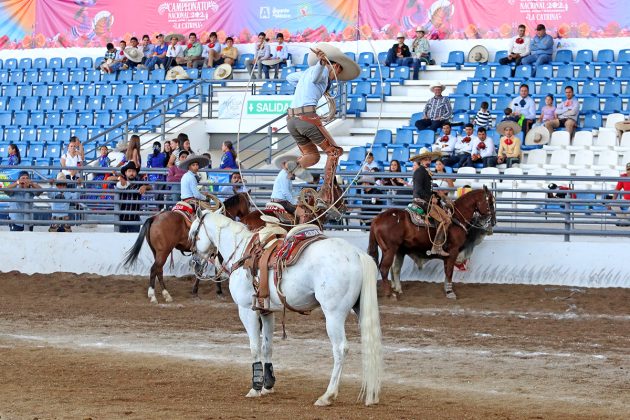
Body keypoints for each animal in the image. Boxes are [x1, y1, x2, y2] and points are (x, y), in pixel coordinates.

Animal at [122, 192, 253, 304]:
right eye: (249, 202)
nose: (248, 216)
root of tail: (154, 218)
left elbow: (201, 270)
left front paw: (196, 291)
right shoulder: (216, 251)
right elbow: (215, 269)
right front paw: (218, 292)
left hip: (157, 252)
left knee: (159, 270)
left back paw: (166, 295)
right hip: (163, 252)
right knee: (154, 269)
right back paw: (153, 296)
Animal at [190, 212, 382, 406]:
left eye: (193, 234)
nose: (194, 263)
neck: (243, 253)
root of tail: (357, 254)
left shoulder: (246, 310)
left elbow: (255, 347)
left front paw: (256, 387)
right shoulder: (267, 311)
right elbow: (267, 346)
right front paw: (268, 385)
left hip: (334, 315)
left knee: (340, 349)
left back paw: (327, 395)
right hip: (359, 310)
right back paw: (371, 394)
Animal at [368, 186, 496, 298]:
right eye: (490, 202)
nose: (494, 221)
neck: (456, 218)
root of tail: (376, 219)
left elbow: (447, 270)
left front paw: (447, 288)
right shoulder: (453, 250)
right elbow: (449, 271)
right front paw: (450, 292)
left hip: (397, 250)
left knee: (394, 268)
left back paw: (397, 290)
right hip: (390, 250)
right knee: (384, 268)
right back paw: (389, 294)